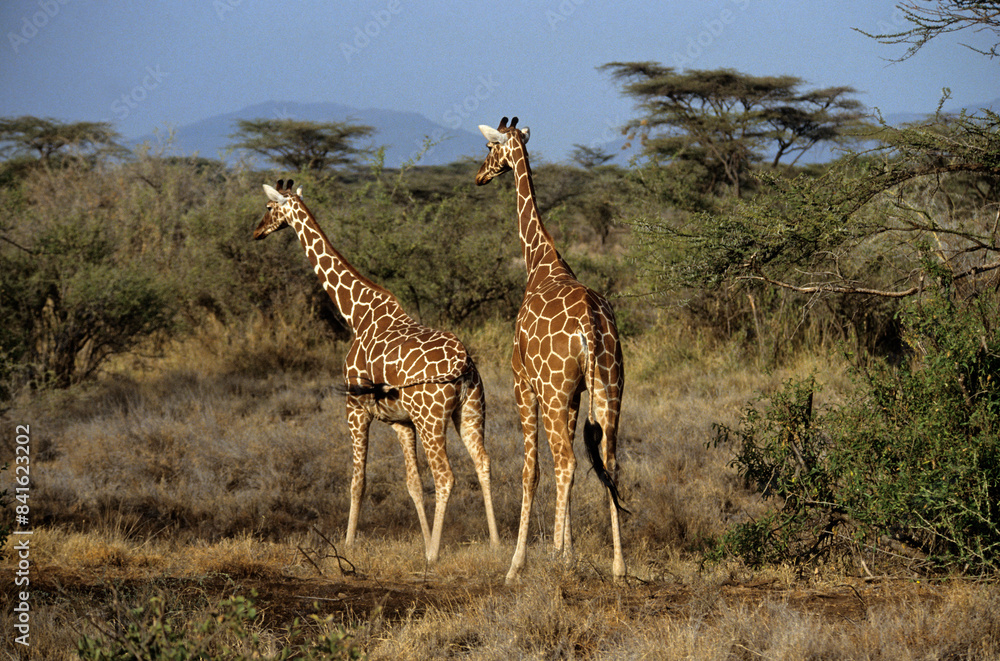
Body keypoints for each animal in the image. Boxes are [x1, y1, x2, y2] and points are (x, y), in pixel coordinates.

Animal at [253, 179, 499, 563]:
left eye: (268, 207)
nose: (256, 232)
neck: (357, 313)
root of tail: (463, 363)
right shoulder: (401, 422)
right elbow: (412, 484)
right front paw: (423, 539)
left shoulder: (355, 409)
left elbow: (358, 480)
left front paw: (348, 543)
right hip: (471, 410)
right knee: (483, 463)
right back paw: (496, 545)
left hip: (432, 419)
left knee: (446, 476)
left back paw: (434, 555)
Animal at [475, 117, 627, 583]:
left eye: (490, 147)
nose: (480, 175)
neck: (540, 263)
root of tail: (590, 326)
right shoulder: (576, 395)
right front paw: (568, 549)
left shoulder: (524, 384)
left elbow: (531, 470)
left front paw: (521, 563)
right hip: (610, 390)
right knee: (608, 461)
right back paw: (619, 566)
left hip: (555, 393)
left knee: (566, 463)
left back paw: (553, 562)